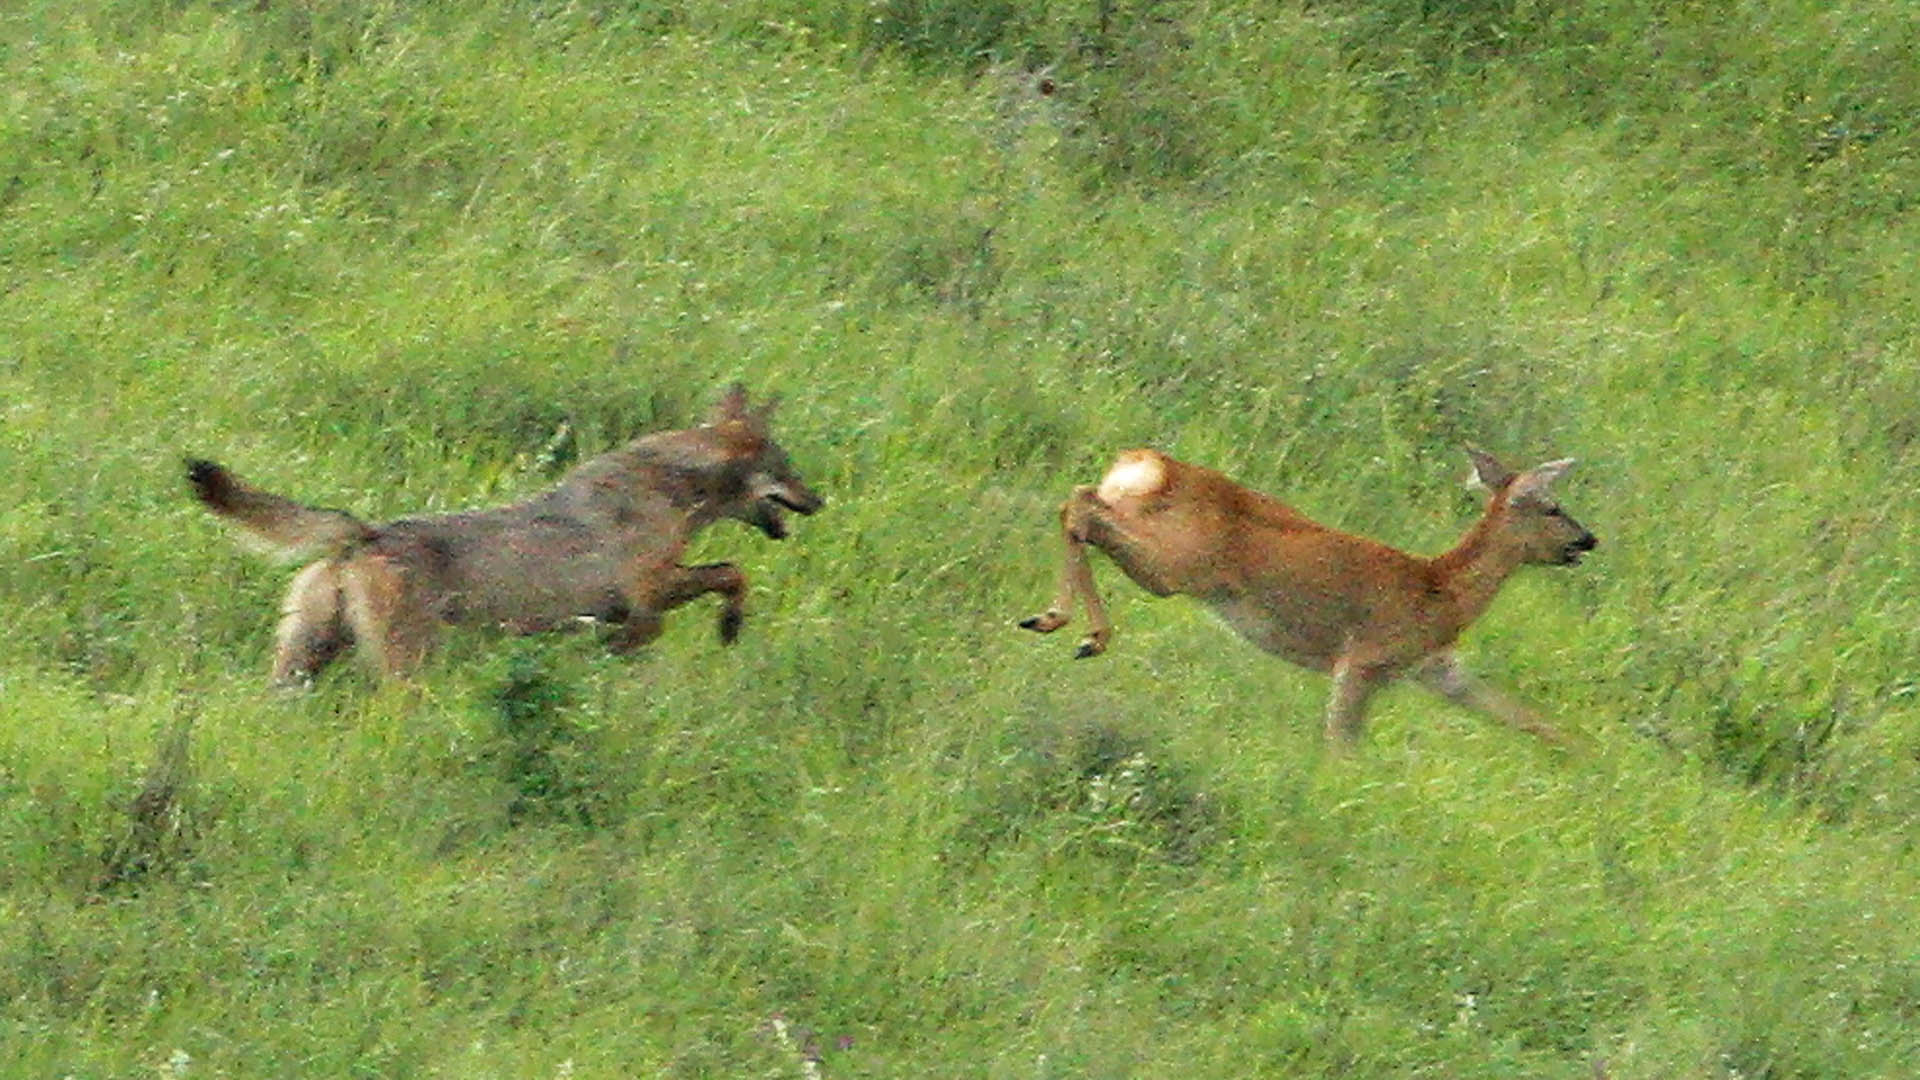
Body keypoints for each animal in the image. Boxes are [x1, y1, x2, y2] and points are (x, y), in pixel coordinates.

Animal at [189, 380, 825, 680]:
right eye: (790, 470)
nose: (820, 501)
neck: (671, 488)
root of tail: (365, 535)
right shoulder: (652, 590)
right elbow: (733, 574)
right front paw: (730, 628)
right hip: (410, 666)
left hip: (301, 667)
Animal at [1029, 447, 1597, 749]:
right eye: (1550, 506)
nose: (1588, 540)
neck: (1442, 591)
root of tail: (1146, 463)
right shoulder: (1364, 659)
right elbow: (1341, 741)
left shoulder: (1436, 668)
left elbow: (1525, 716)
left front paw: (1590, 759)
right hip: (1179, 565)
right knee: (1080, 505)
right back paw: (1079, 630)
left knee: (1077, 501)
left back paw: (1057, 622)